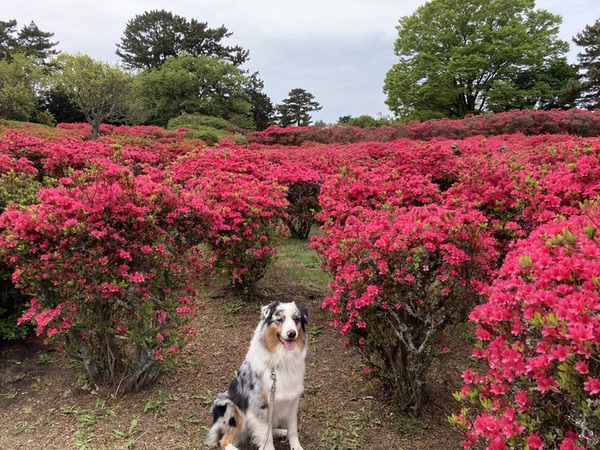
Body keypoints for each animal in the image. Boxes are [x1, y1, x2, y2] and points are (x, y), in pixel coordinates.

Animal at [206, 300, 310, 450]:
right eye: (279, 320)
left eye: (296, 319)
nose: (292, 334)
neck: (280, 360)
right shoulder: (260, 406)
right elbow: (267, 439)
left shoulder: (292, 401)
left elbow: (292, 429)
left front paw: (296, 447)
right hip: (230, 407)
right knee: (224, 440)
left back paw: (280, 431)